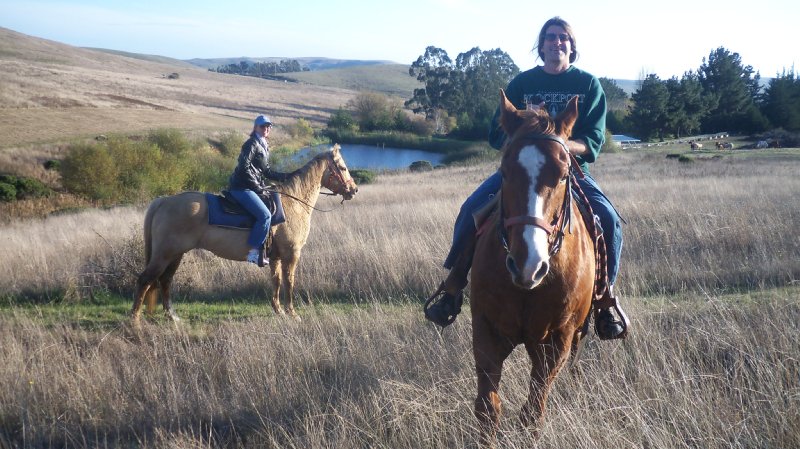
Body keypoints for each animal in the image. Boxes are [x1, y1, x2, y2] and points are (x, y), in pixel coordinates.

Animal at [133, 144, 358, 322]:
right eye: (343, 167)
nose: (353, 190)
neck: (293, 203)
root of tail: (163, 201)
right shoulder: (291, 254)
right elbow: (289, 281)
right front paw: (292, 313)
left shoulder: (275, 257)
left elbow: (276, 281)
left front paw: (278, 310)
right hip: (165, 254)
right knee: (145, 280)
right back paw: (135, 319)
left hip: (175, 254)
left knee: (165, 280)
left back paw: (172, 316)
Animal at [472, 91, 596, 444]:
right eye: (504, 172)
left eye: (565, 174)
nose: (528, 265)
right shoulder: (485, 330)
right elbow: (488, 409)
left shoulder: (556, 342)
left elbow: (532, 413)